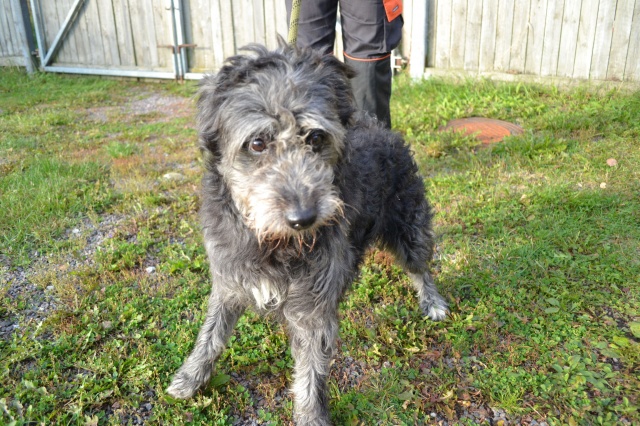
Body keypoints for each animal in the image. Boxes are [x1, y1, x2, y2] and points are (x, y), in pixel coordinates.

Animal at [166, 42, 448, 425]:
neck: (274, 242)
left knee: (420, 267)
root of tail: (378, 125)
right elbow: (211, 334)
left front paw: (311, 415)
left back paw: (432, 302)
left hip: (409, 226)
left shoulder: (313, 307)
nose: (303, 218)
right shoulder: (229, 281)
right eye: (257, 143)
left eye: (315, 137)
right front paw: (191, 377)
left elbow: (311, 371)